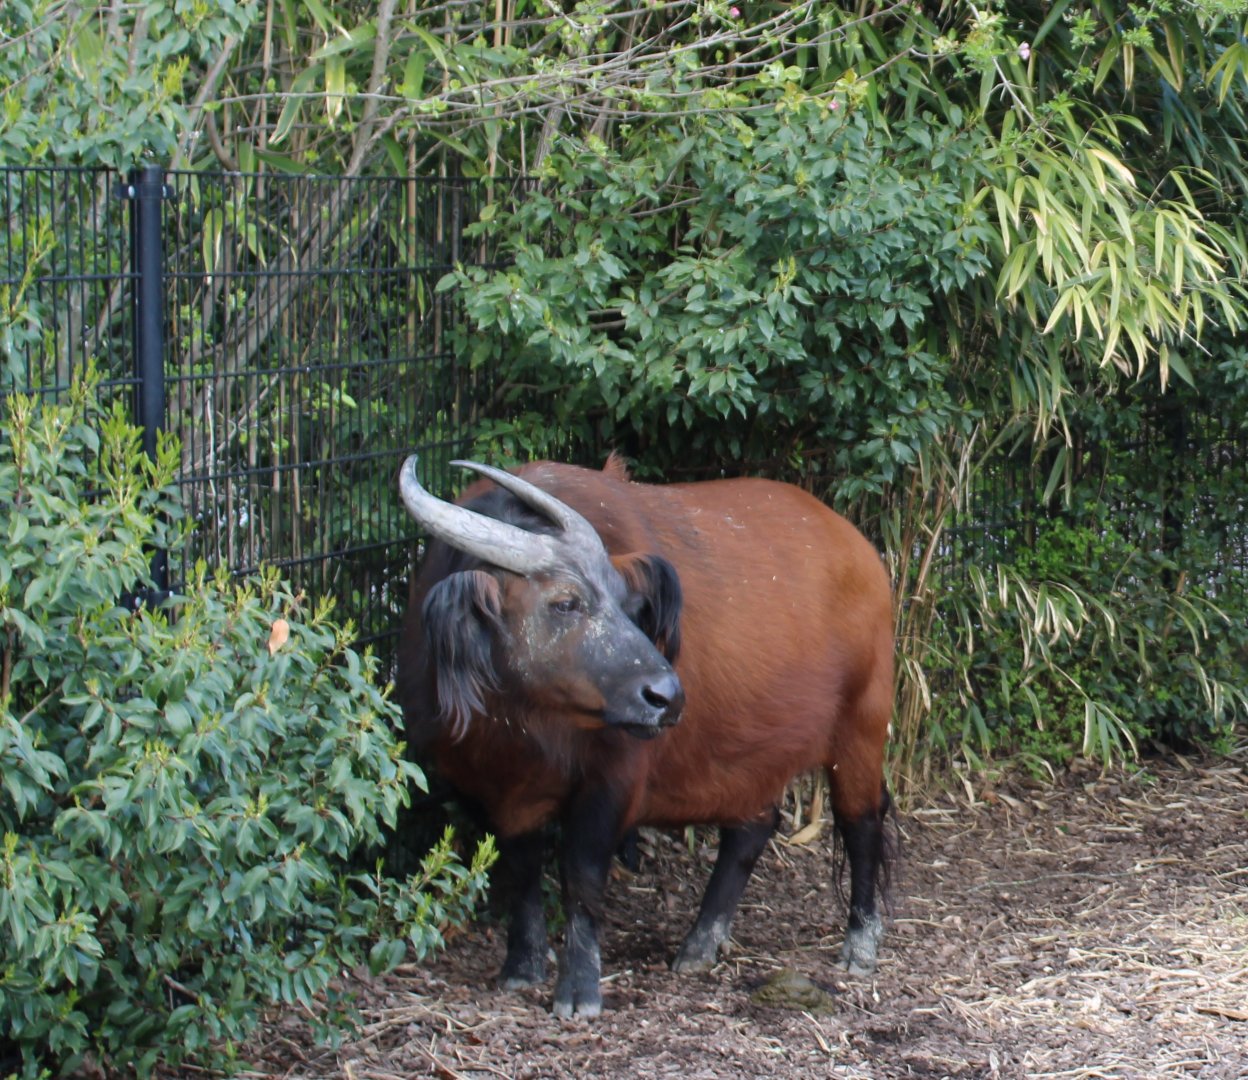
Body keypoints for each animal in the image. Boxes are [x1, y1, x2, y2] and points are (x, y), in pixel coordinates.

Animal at [396, 454, 894, 1018]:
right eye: (565, 602)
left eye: (626, 602)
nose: (666, 696)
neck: (522, 727)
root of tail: (857, 547)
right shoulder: (496, 793)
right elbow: (521, 874)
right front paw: (521, 966)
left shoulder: (611, 783)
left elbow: (582, 876)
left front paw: (579, 990)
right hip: (754, 751)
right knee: (753, 826)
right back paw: (700, 942)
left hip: (860, 727)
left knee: (861, 821)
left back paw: (860, 944)